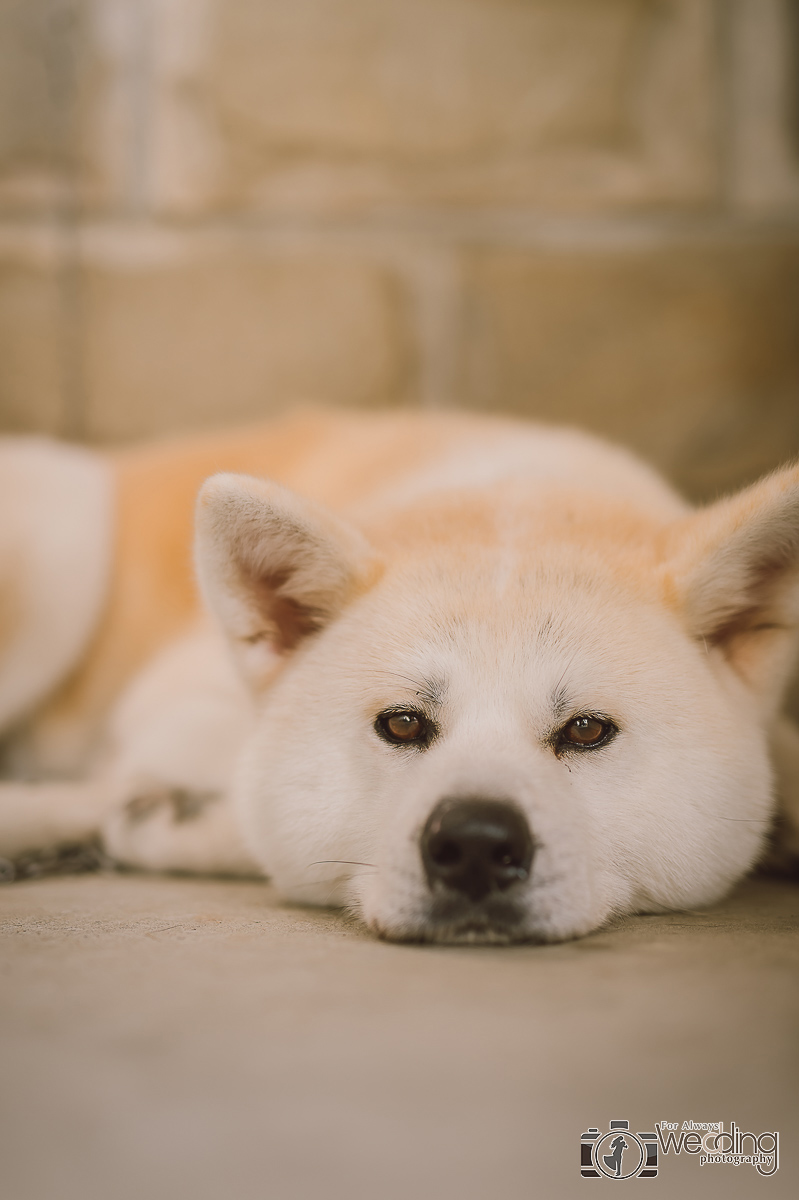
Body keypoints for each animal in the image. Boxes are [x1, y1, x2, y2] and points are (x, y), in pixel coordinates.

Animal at [1, 412, 796, 945]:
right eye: (404, 723)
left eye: (586, 730)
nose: (473, 846)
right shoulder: (170, 715)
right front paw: (159, 820)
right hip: (64, 555)